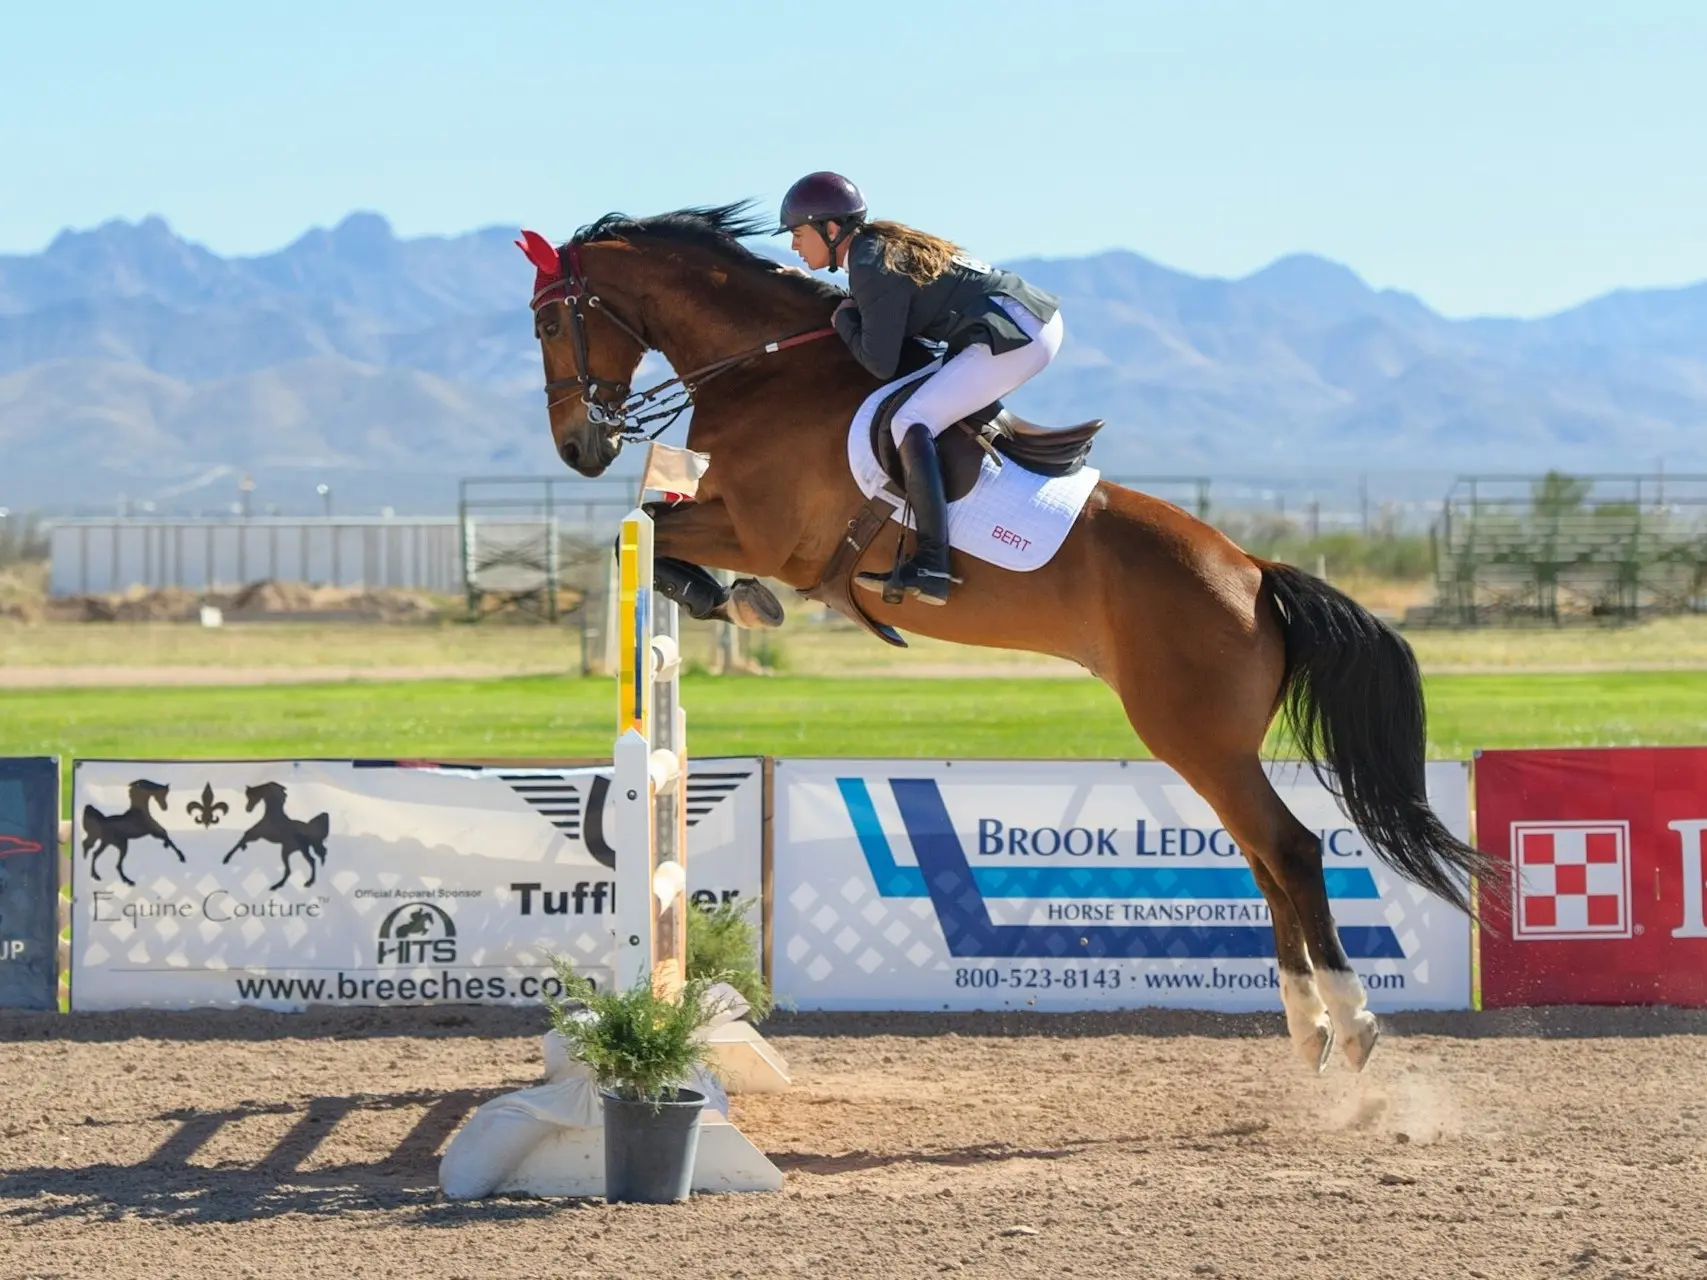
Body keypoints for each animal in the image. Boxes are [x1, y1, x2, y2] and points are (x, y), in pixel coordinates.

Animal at [515, 205, 1495, 1078]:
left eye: (548, 321)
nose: (575, 448)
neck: (760, 374)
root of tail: (1252, 571)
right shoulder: (732, 519)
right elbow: (652, 525)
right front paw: (728, 600)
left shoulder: (761, 530)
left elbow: (646, 528)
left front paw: (726, 596)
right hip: (1208, 745)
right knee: (1262, 860)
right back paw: (1307, 1028)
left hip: (1194, 736)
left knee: (1289, 851)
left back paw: (1352, 1022)